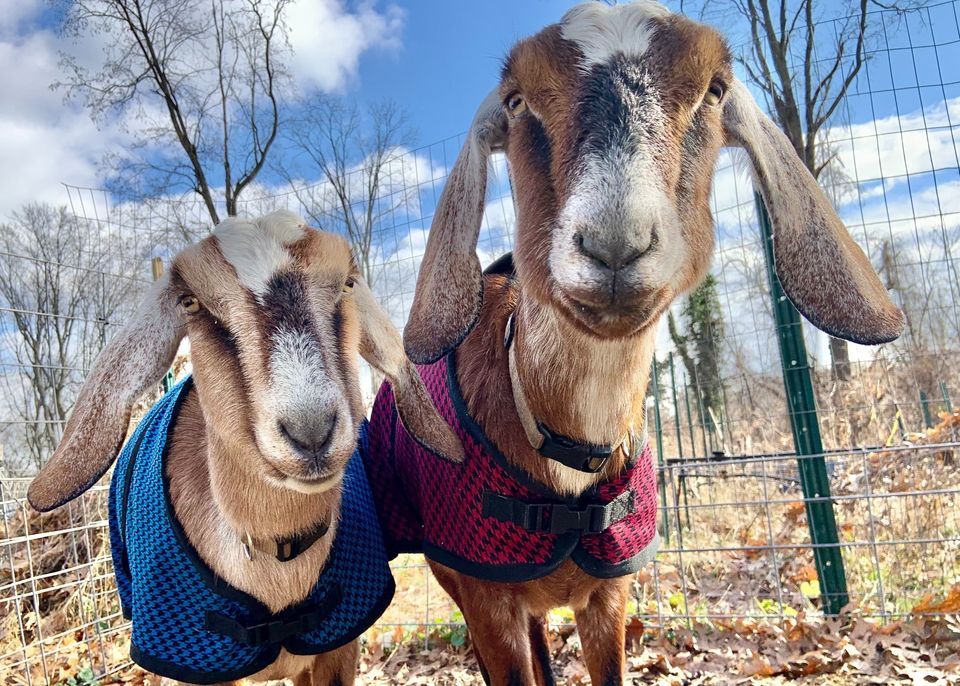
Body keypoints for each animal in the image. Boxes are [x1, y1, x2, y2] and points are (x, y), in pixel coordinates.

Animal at [400, 2, 900, 684]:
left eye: (714, 90)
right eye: (517, 100)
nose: (615, 243)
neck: (568, 450)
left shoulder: (610, 595)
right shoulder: (485, 601)